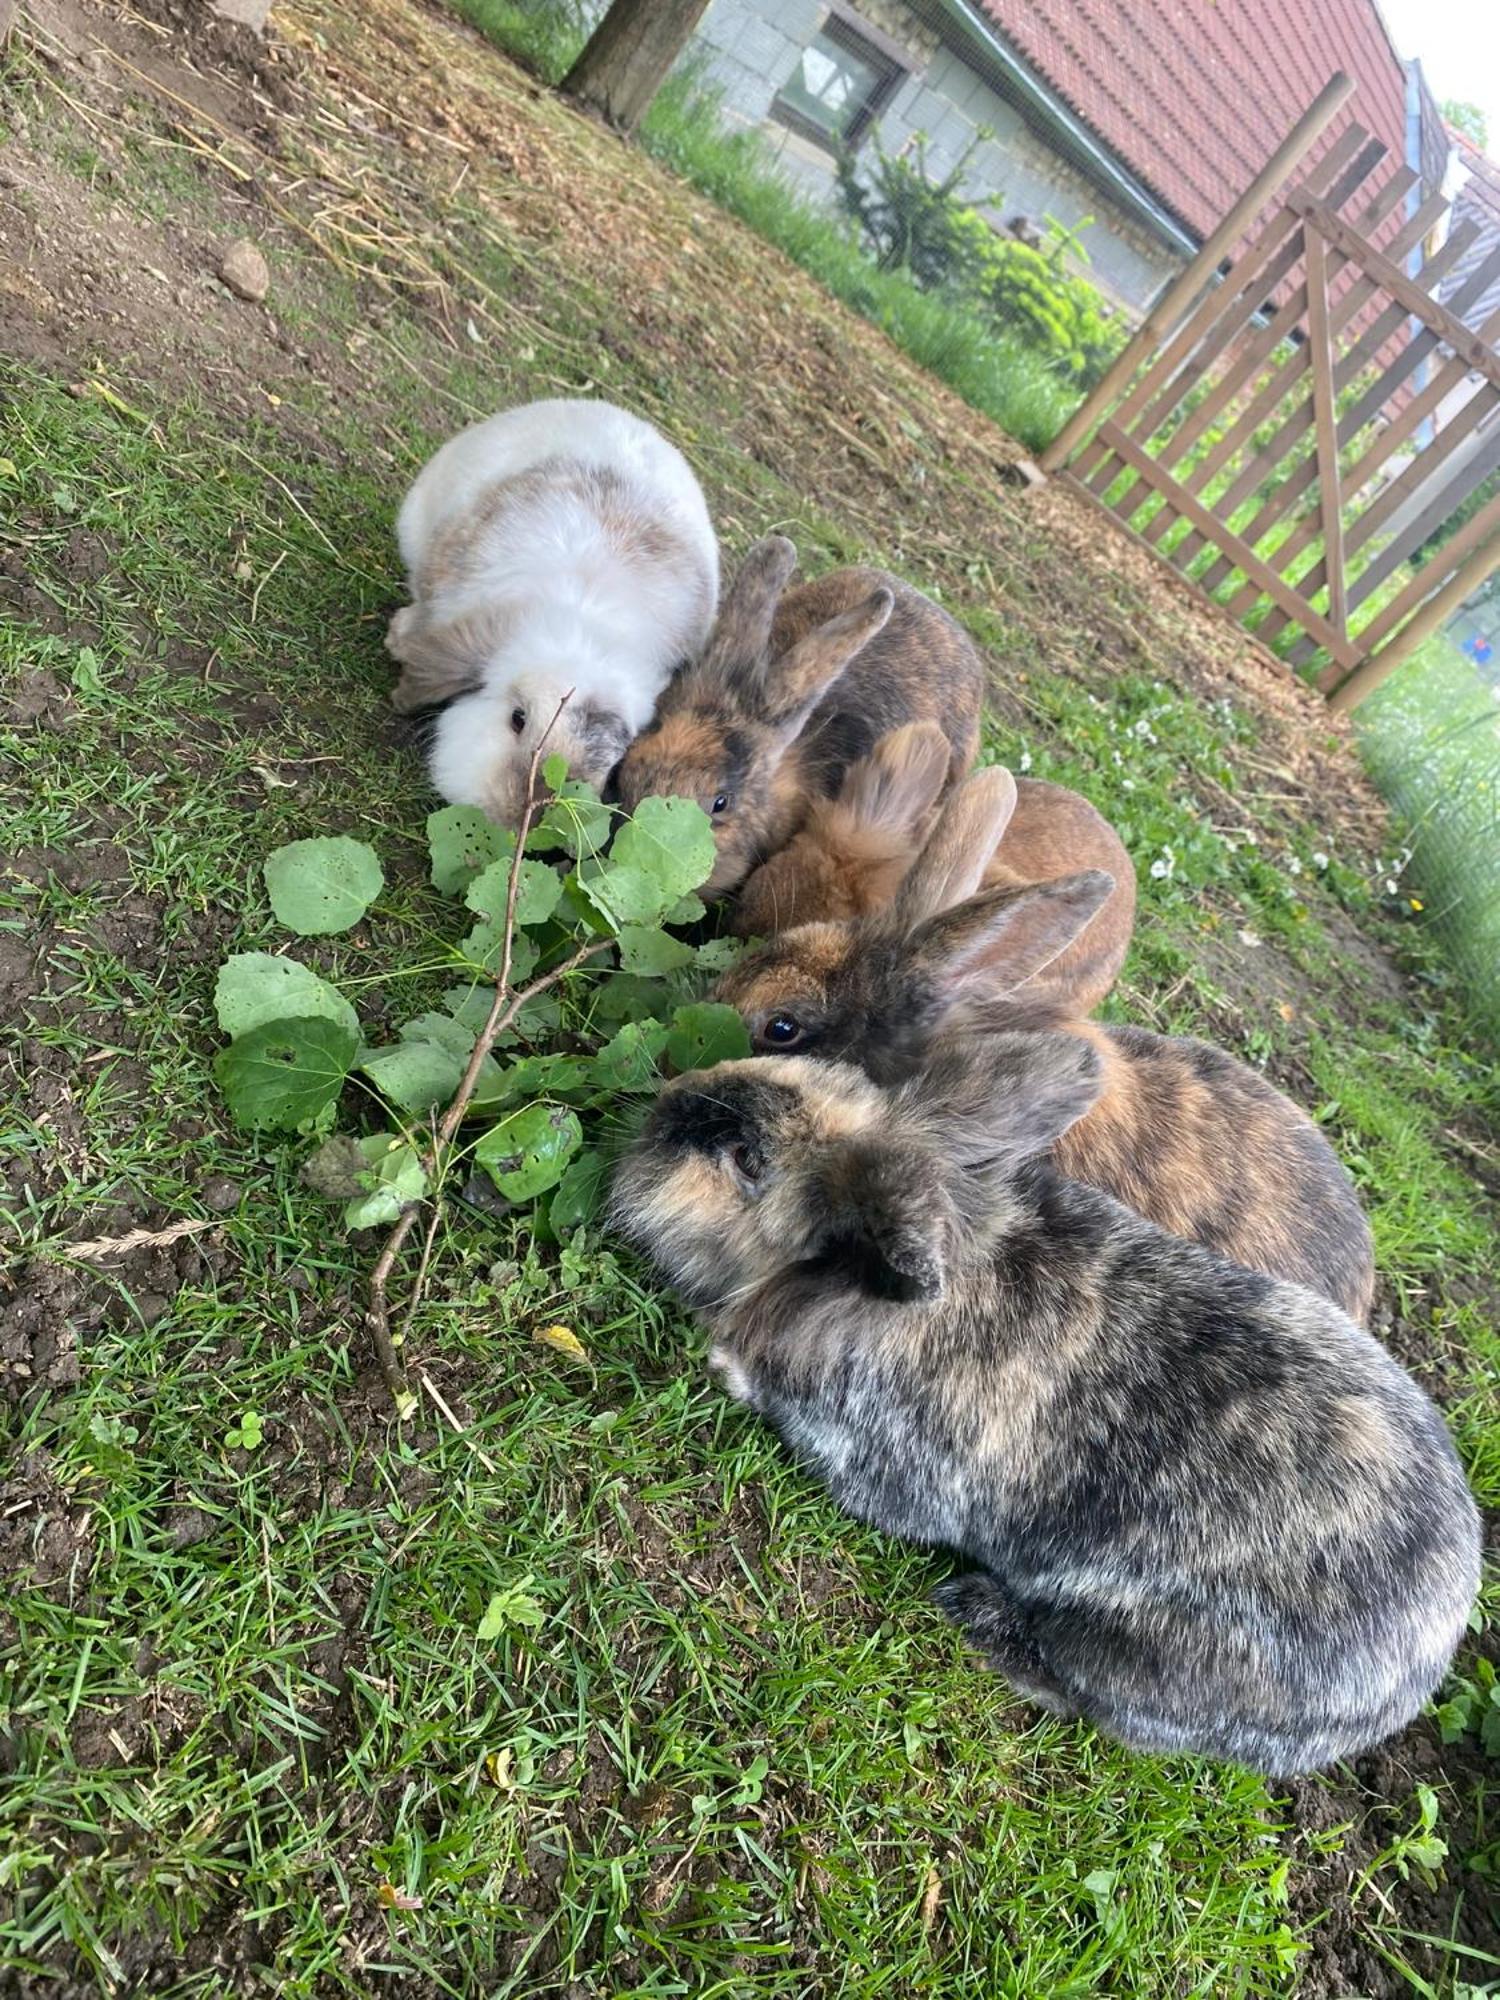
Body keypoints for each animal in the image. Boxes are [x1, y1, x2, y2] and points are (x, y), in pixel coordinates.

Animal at [616, 1040, 1488, 1776]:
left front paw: (726, 1364)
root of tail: (1415, 1672)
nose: (661, 1103)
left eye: (745, 1161)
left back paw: (976, 1610)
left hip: (1137, 1650)